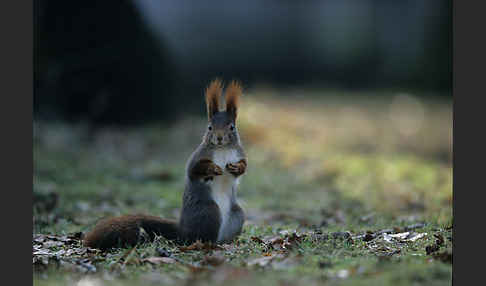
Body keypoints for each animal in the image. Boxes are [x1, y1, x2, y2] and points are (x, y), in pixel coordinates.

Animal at [82, 79, 247, 250]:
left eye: (232, 127)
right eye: (209, 127)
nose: (219, 138)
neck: (222, 149)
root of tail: (182, 230)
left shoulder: (239, 154)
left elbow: (244, 166)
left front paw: (237, 167)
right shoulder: (198, 156)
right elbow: (193, 170)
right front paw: (212, 168)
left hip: (237, 215)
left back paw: (226, 243)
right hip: (209, 212)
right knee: (197, 237)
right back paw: (204, 244)